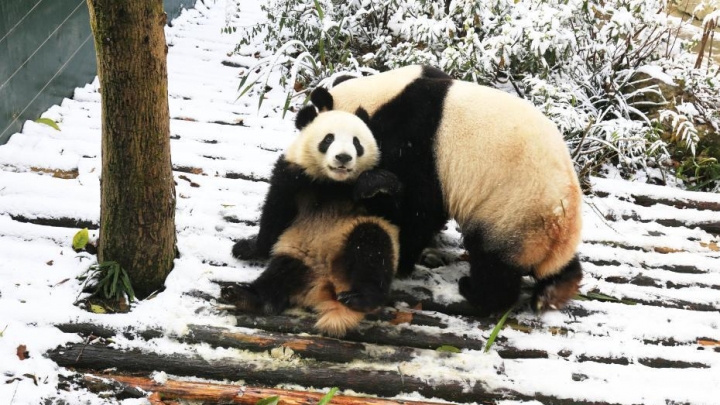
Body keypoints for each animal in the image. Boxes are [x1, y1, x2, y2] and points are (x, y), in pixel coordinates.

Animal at [225, 107, 402, 337]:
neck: (332, 183)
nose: (343, 157)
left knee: (371, 244)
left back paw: (361, 297)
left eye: (357, 142)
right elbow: (274, 213)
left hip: (354, 239)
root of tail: (326, 282)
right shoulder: (292, 174)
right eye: (328, 139)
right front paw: (247, 247)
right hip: (297, 251)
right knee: (279, 275)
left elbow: (394, 211)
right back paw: (242, 295)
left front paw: (373, 182)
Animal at [301, 65, 583, 315]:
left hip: (513, 211)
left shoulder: (415, 139)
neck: (376, 99)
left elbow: (418, 208)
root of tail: (561, 222)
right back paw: (556, 290)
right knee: (555, 267)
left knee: (493, 262)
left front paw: (402, 258)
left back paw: (476, 292)